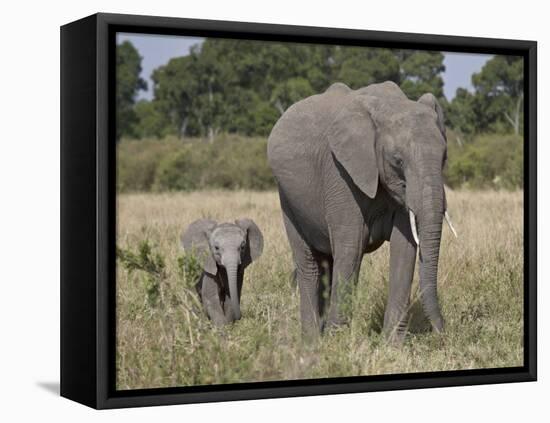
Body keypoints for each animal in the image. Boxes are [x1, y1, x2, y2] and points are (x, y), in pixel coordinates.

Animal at [268, 81, 458, 342]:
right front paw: (336, 343)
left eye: (444, 157)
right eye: (397, 160)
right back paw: (312, 341)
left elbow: (404, 249)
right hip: (288, 199)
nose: (442, 332)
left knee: (328, 263)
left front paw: (392, 344)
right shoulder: (340, 173)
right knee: (310, 264)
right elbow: (351, 246)